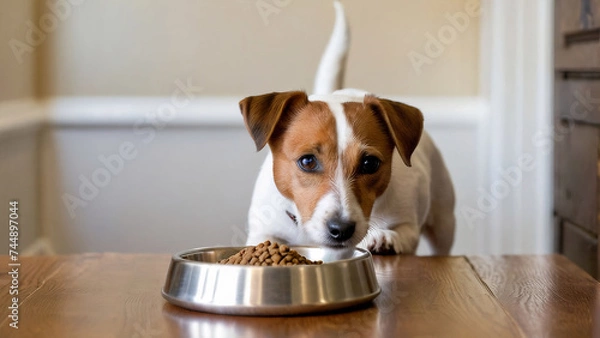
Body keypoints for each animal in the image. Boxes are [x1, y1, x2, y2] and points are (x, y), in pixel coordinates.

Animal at [239, 0, 454, 254]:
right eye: (307, 161)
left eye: (370, 163)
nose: (341, 229)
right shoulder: (262, 232)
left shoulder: (408, 225)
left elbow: (400, 232)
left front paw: (383, 237)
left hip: (444, 221)